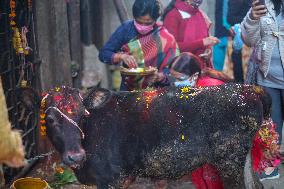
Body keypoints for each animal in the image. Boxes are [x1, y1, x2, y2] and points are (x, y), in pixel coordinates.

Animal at [21, 84, 270, 189]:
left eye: (83, 114)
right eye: (50, 119)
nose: (76, 156)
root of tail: (249, 89)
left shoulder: (111, 179)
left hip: (229, 161)